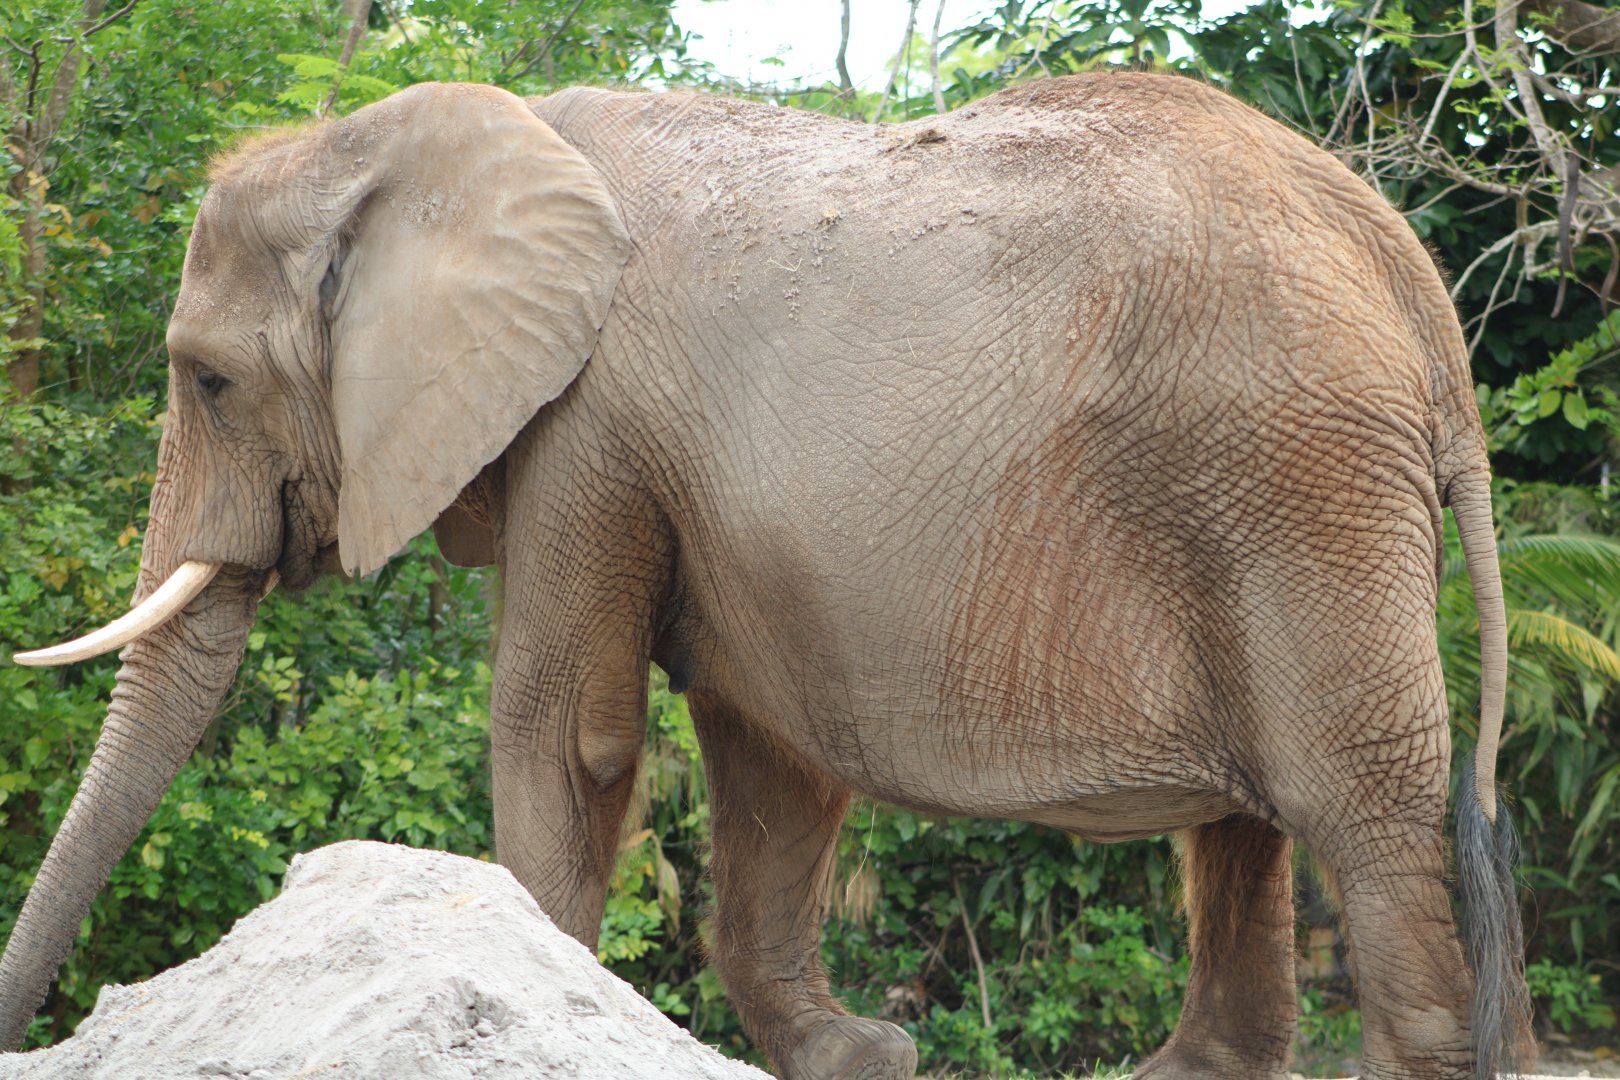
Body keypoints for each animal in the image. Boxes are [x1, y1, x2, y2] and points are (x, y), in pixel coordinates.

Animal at [3, 72, 1532, 1080]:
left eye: (206, 379)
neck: (403, 142)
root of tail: (1418, 294)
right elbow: (773, 768)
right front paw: (864, 1053)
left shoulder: (593, 424)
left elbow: (569, 737)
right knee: (1247, 826)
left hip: (1296, 488)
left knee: (1359, 814)